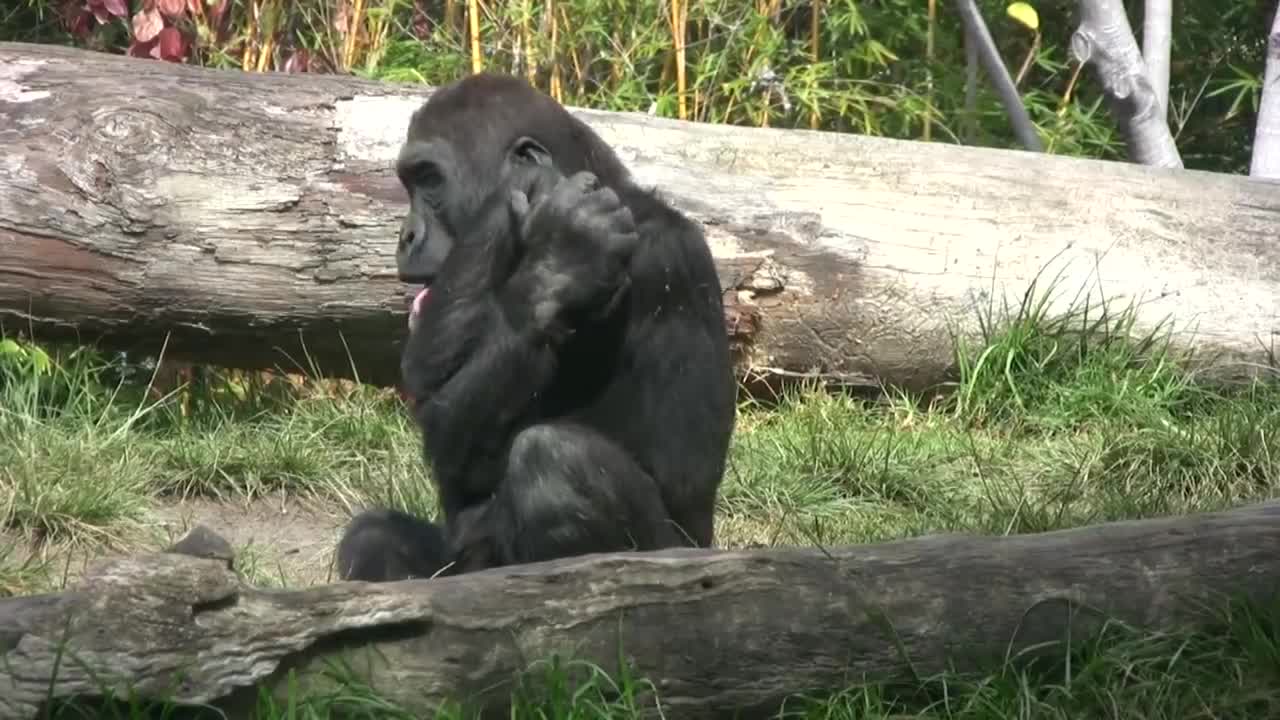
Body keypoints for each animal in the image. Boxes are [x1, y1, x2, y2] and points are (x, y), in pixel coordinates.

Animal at [335, 71, 737, 576]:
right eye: (408, 182)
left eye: (429, 180)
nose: (406, 236)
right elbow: (440, 410)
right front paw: (561, 258)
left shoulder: (659, 262)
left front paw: (564, 249)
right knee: (372, 537)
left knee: (552, 464)